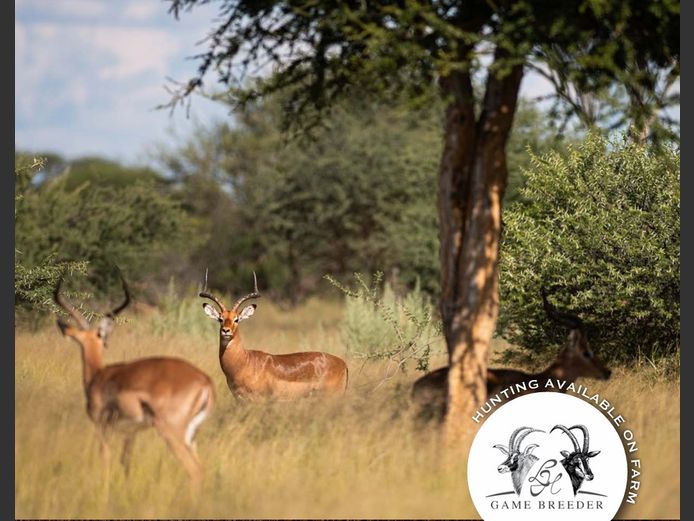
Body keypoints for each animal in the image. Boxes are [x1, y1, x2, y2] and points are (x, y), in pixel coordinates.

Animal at [54, 274, 214, 485]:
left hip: (171, 431)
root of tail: (205, 381)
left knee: (195, 471)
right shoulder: (131, 433)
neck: (98, 376)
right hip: (191, 436)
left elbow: (105, 459)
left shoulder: (102, 427)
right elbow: (125, 463)